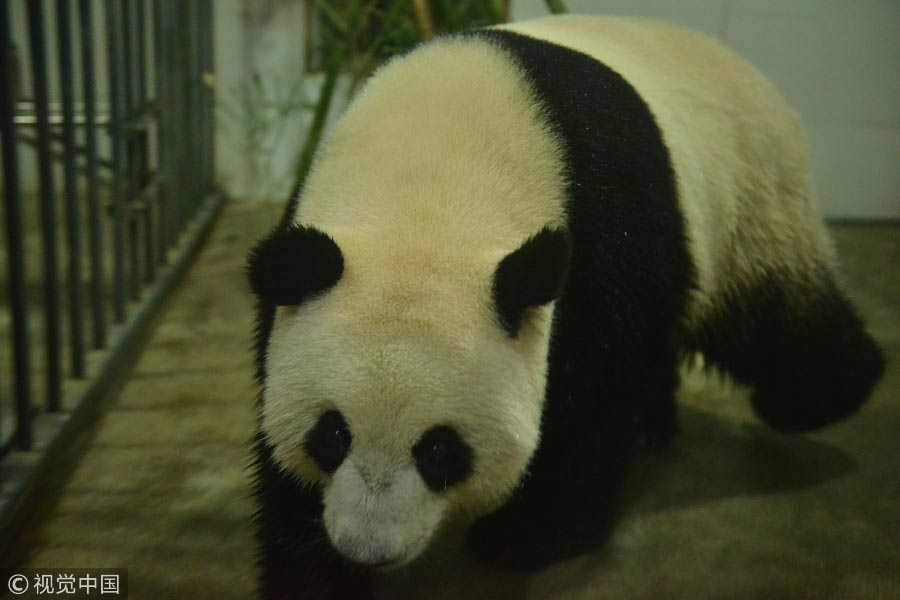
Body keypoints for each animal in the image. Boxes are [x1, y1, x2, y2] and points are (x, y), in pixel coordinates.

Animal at [246, 15, 884, 600]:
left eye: (440, 450)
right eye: (331, 435)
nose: (369, 547)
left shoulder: (608, 230)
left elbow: (597, 390)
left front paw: (528, 535)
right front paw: (313, 571)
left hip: (747, 198)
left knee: (771, 317)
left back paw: (813, 393)